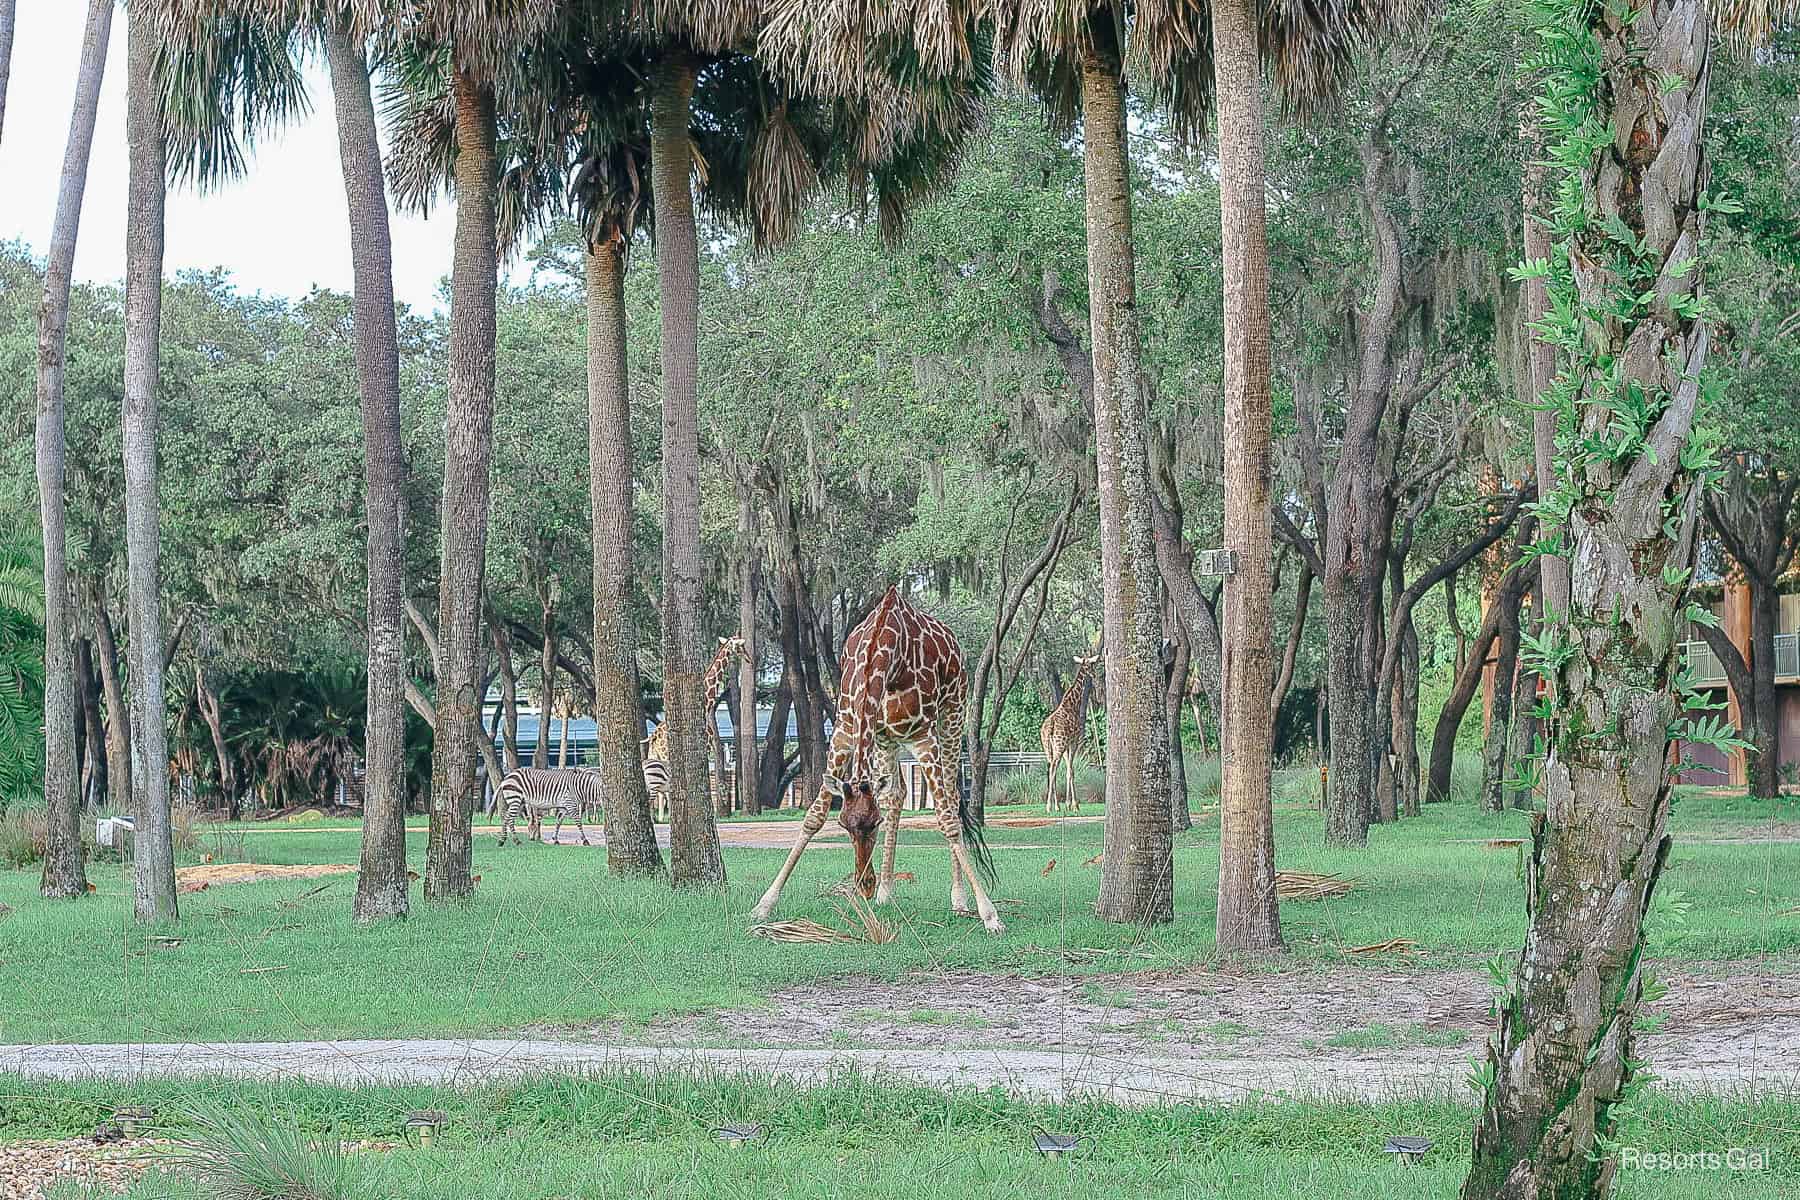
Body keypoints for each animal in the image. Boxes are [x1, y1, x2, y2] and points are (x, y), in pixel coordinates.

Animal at [741, 586, 1000, 935]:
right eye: (843, 825)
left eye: (874, 824)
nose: (864, 886)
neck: (883, 652)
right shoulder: (846, 729)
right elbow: (813, 816)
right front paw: (764, 904)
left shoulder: (922, 736)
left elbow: (946, 818)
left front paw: (990, 915)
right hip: (886, 739)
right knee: (896, 793)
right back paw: (886, 892)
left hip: (953, 713)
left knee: (951, 796)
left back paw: (957, 899)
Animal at [1044, 658, 1094, 816]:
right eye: (1089, 666)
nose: (1093, 674)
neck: (1073, 703)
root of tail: (1049, 729)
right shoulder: (1075, 741)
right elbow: (1071, 770)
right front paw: (1073, 805)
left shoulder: (1067, 745)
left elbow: (1068, 769)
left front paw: (1069, 804)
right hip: (1058, 746)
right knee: (1053, 768)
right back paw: (1050, 807)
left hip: (1049, 748)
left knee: (1050, 768)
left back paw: (1055, 806)